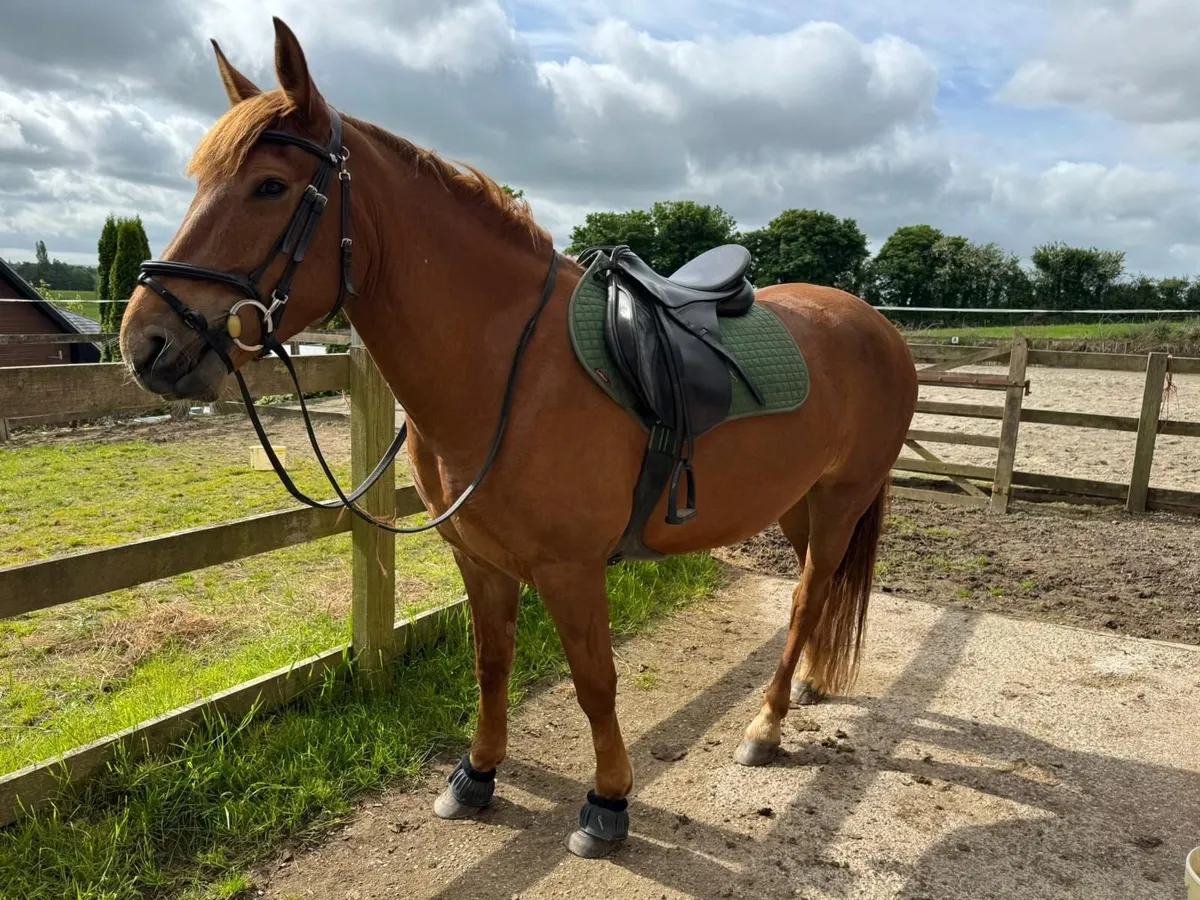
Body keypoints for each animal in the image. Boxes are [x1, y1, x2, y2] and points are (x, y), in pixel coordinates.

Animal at [119, 17, 918, 859]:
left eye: (269, 186)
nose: (145, 344)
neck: (507, 365)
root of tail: (878, 328)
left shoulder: (571, 570)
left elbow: (594, 681)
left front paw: (608, 802)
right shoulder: (481, 559)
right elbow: (491, 663)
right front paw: (477, 773)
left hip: (841, 500)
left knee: (806, 597)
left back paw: (766, 726)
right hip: (799, 503)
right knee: (814, 593)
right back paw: (806, 686)